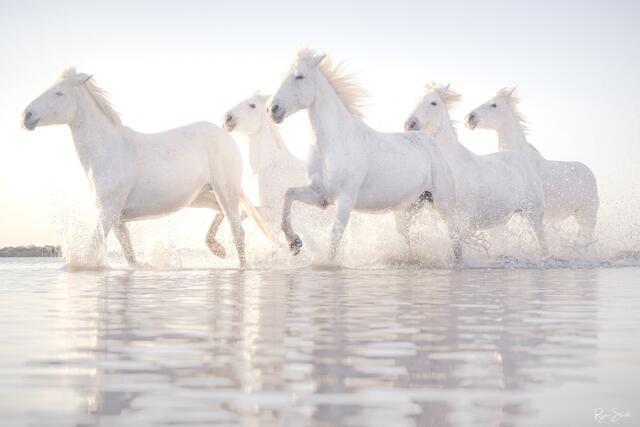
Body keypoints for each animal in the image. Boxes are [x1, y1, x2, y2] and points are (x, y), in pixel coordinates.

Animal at [22, 68, 276, 268]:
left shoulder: (108, 211)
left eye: (59, 92)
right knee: (227, 213)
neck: (108, 150)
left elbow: (92, 249)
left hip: (225, 188)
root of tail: (225, 134)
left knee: (238, 231)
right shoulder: (118, 219)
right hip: (200, 195)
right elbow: (130, 258)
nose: (26, 116)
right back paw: (217, 249)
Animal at [267, 49, 463, 264]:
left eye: (299, 76)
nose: (272, 109)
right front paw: (294, 243)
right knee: (409, 237)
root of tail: (432, 143)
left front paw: (326, 262)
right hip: (408, 208)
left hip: (443, 203)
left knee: (455, 237)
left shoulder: (345, 200)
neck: (334, 143)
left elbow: (334, 238)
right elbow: (288, 194)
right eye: (281, 76)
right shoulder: (320, 195)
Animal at [405, 83, 548, 256]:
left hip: (534, 214)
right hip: (501, 220)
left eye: (433, 103)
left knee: (543, 243)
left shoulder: (466, 215)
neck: (453, 165)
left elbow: (463, 236)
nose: (409, 124)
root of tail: (521, 157)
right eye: (416, 100)